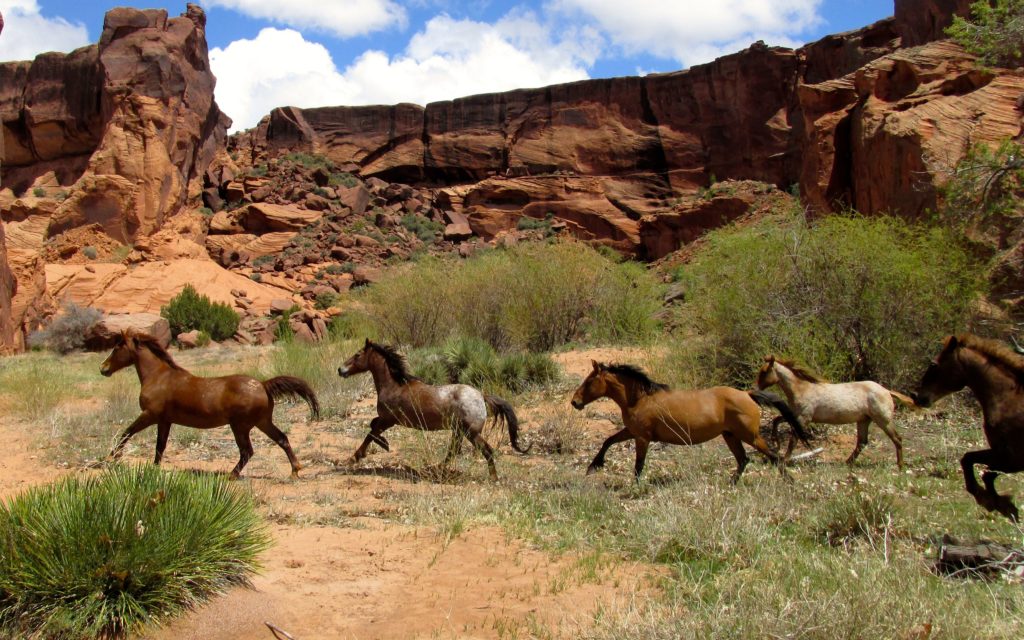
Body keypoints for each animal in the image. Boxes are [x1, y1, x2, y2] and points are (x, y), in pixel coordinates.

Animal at [100, 329, 320, 479]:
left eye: (117, 346)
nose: (103, 369)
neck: (159, 377)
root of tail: (263, 385)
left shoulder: (150, 415)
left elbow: (127, 432)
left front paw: (112, 457)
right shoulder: (164, 421)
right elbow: (160, 446)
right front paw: (153, 469)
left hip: (240, 426)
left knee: (247, 451)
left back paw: (231, 475)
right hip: (262, 422)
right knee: (281, 439)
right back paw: (295, 470)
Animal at [338, 339, 528, 480]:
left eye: (357, 354)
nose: (340, 369)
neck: (394, 386)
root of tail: (481, 396)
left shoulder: (389, 420)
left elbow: (370, 434)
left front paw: (356, 457)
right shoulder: (386, 420)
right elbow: (372, 426)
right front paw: (384, 444)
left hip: (470, 433)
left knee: (485, 450)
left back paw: (492, 478)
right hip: (458, 431)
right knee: (453, 451)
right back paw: (437, 469)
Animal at [570, 361, 809, 482]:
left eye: (589, 381)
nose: (575, 402)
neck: (639, 398)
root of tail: (748, 394)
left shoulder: (642, 437)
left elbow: (638, 465)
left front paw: (634, 486)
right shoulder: (632, 432)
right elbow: (608, 441)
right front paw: (594, 465)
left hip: (750, 436)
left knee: (774, 456)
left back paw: (790, 483)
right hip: (731, 436)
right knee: (743, 460)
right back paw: (730, 484)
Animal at [755, 355, 915, 468]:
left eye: (764, 372)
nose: (755, 389)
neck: (802, 389)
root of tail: (887, 391)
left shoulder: (803, 418)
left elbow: (793, 440)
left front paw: (784, 459)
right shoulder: (795, 415)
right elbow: (776, 420)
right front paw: (775, 442)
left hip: (883, 420)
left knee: (897, 439)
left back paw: (900, 466)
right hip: (864, 420)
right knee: (862, 442)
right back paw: (847, 463)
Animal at [913, 334, 1024, 521]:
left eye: (934, 364)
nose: (917, 396)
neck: (1008, 400)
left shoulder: (1013, 459)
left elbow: (986, 474)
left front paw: (1000, 505)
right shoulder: (1000, 453)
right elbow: (968, 459)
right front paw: (996, 503)